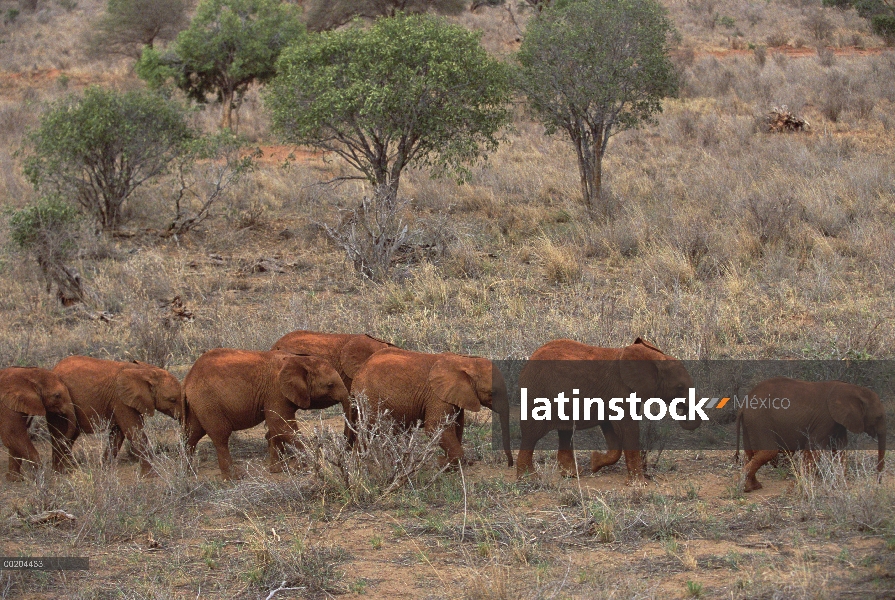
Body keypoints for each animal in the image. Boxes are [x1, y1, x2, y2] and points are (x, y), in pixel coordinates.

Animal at [183, 346, 350, 478]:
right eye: (330, 385)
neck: (298, 359)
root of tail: (187, 378)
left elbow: (275, 430)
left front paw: (278, 470)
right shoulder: (276, 392)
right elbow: (281, 426)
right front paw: (301, 469)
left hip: (198, 404)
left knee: (192, 434)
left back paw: (188, 473)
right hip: (207, 402)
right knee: (220, 437)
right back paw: (234, 477)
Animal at [352, 346, 520, 468]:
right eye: (492, 393)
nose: (510, 464)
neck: (465, 361)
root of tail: (359, 371)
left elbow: (458, 425)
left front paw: (453, 462)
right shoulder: (437, 396)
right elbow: (436, 427)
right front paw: (442, 463)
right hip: (370, 397)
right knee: (372, 429)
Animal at [520, 338, 700, 482]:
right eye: (679, 387)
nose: (682, 410)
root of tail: (530, 359)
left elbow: (612, 432)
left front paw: (595, 462)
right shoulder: (620, 390)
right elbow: (628, 428)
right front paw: (638, 484)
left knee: (565, 432)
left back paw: (572, 475)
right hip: (537, 392)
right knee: (532, 434)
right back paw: (529, 479)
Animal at [736, 380, 888, 492]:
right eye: (879, 417)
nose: (878, 483)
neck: (852, 389)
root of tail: (743, 406)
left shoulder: (838, 423)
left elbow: (840, 451)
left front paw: (841, 486)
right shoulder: (825, 420)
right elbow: (813, 449)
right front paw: (806, 486)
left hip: (751, 423)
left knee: (750, 454)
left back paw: (751, 487)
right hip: (759, 421)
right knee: (768, 452)